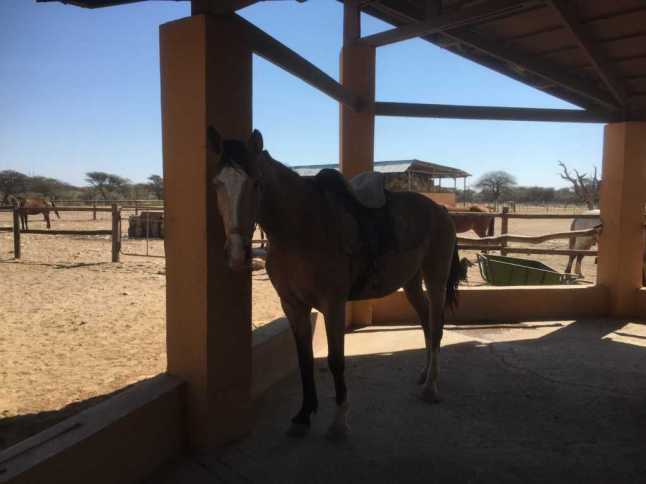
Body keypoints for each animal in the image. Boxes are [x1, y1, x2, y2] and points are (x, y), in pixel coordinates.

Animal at [207, 127, 464, 440]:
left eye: (257, 184)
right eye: (217, 183)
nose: (236, 253)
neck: (302, 227)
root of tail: (440, 210)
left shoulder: (333, 304)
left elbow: (335, 360)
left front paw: (339, 421)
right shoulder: (292, 305)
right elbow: (304, 359)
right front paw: (303, 416)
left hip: (435, 278)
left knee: (436, 326)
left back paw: (431, 388)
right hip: (412, 281)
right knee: (427, 322)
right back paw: (425, 375)